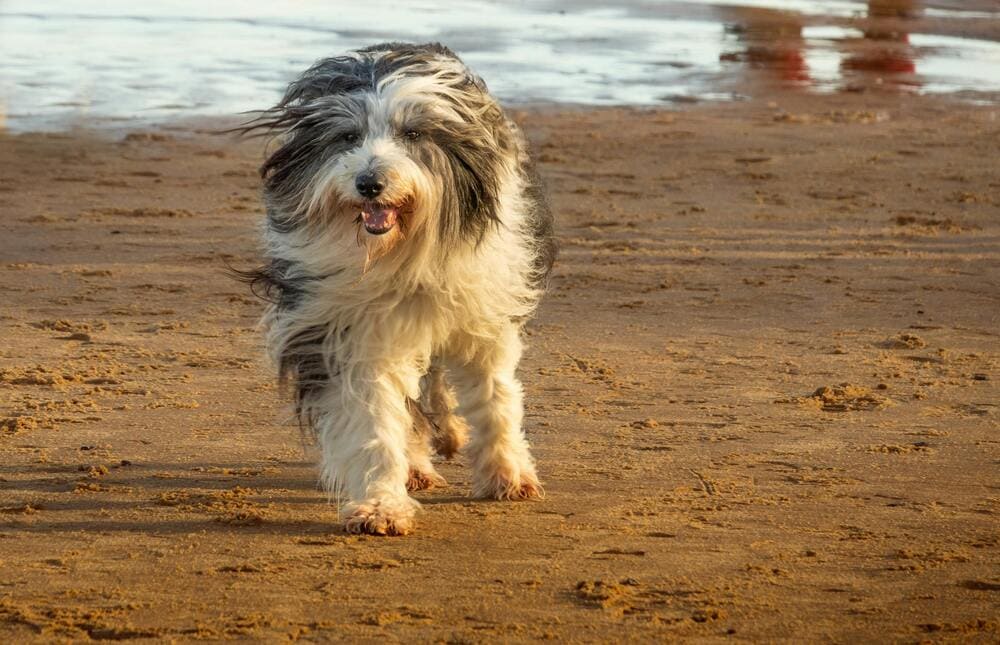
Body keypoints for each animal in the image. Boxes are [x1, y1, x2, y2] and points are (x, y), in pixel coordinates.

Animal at [239, 41, 560, 532]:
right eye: (348, 137)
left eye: (412, 134)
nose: (369, 183)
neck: (403, 254)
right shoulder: (351, 329)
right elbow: (373, 417)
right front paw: (381, 505)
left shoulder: (484, 313)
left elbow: (495, 396)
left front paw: (508, 474)